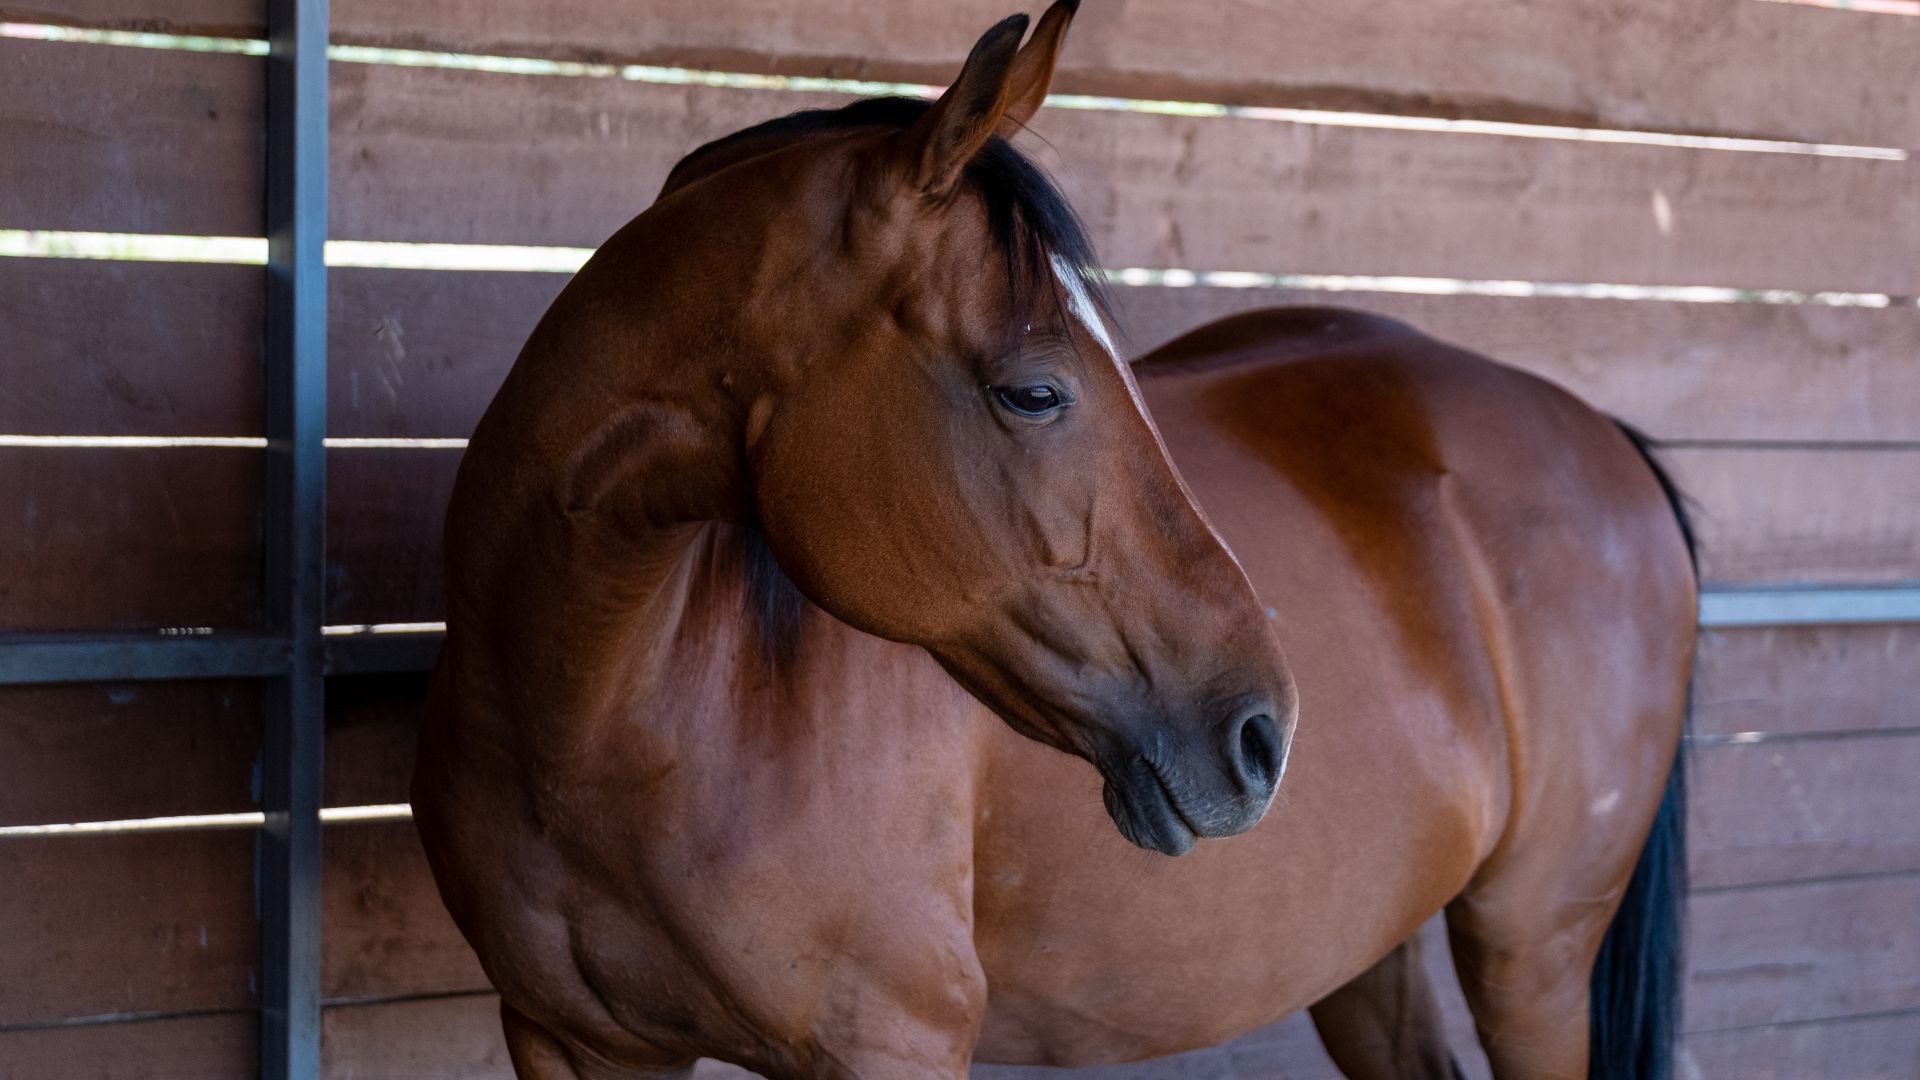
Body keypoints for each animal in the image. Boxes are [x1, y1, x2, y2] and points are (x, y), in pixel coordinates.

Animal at [414, 4, 1694, 1078]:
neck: (612, 721)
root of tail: (1606, 438)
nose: (1262, 735)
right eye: (1034, 392)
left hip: (1533, 950)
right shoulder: (574, 1044)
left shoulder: (890, 1044)